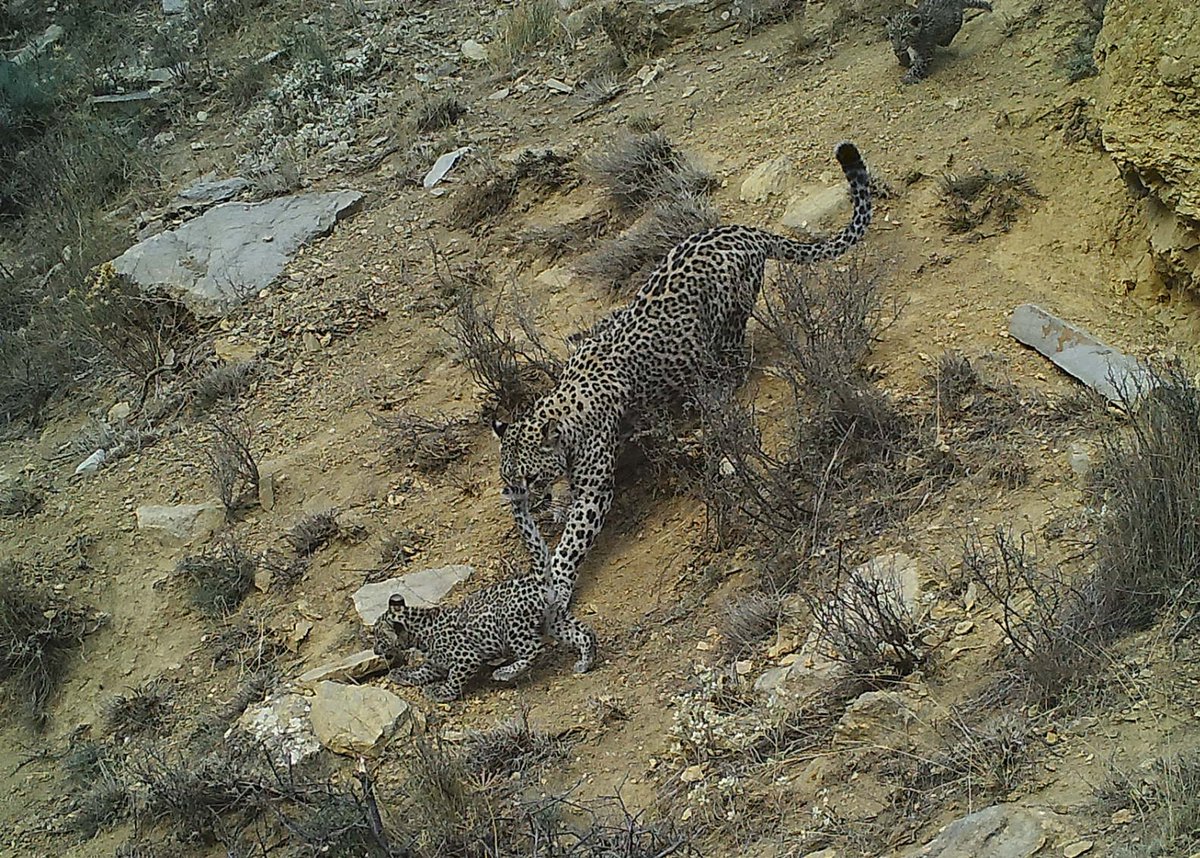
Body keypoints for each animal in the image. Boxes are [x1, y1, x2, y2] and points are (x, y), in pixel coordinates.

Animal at [371, 574, 597, 702]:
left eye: (378, 636)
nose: (374, 650)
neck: (419, 632)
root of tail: (541, 585)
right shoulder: (435, 663)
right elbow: (421, 671)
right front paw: (402, 675)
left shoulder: (466, 658)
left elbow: (454, 679)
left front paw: (443, 693)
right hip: (553, 621)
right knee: (584, 634)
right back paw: (586, 663)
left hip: (512, 626)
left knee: (534, 650)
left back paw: (504, 672)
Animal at [492, 141, 873, 608]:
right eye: (509, 480)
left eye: (529, 477)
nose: (523, 503)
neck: (564, 409)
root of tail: (744, 231)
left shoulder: (596, 487)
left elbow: (575, 538)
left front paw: (559, 582)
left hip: (726, 316)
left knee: (734, 358)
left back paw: (713, 395)